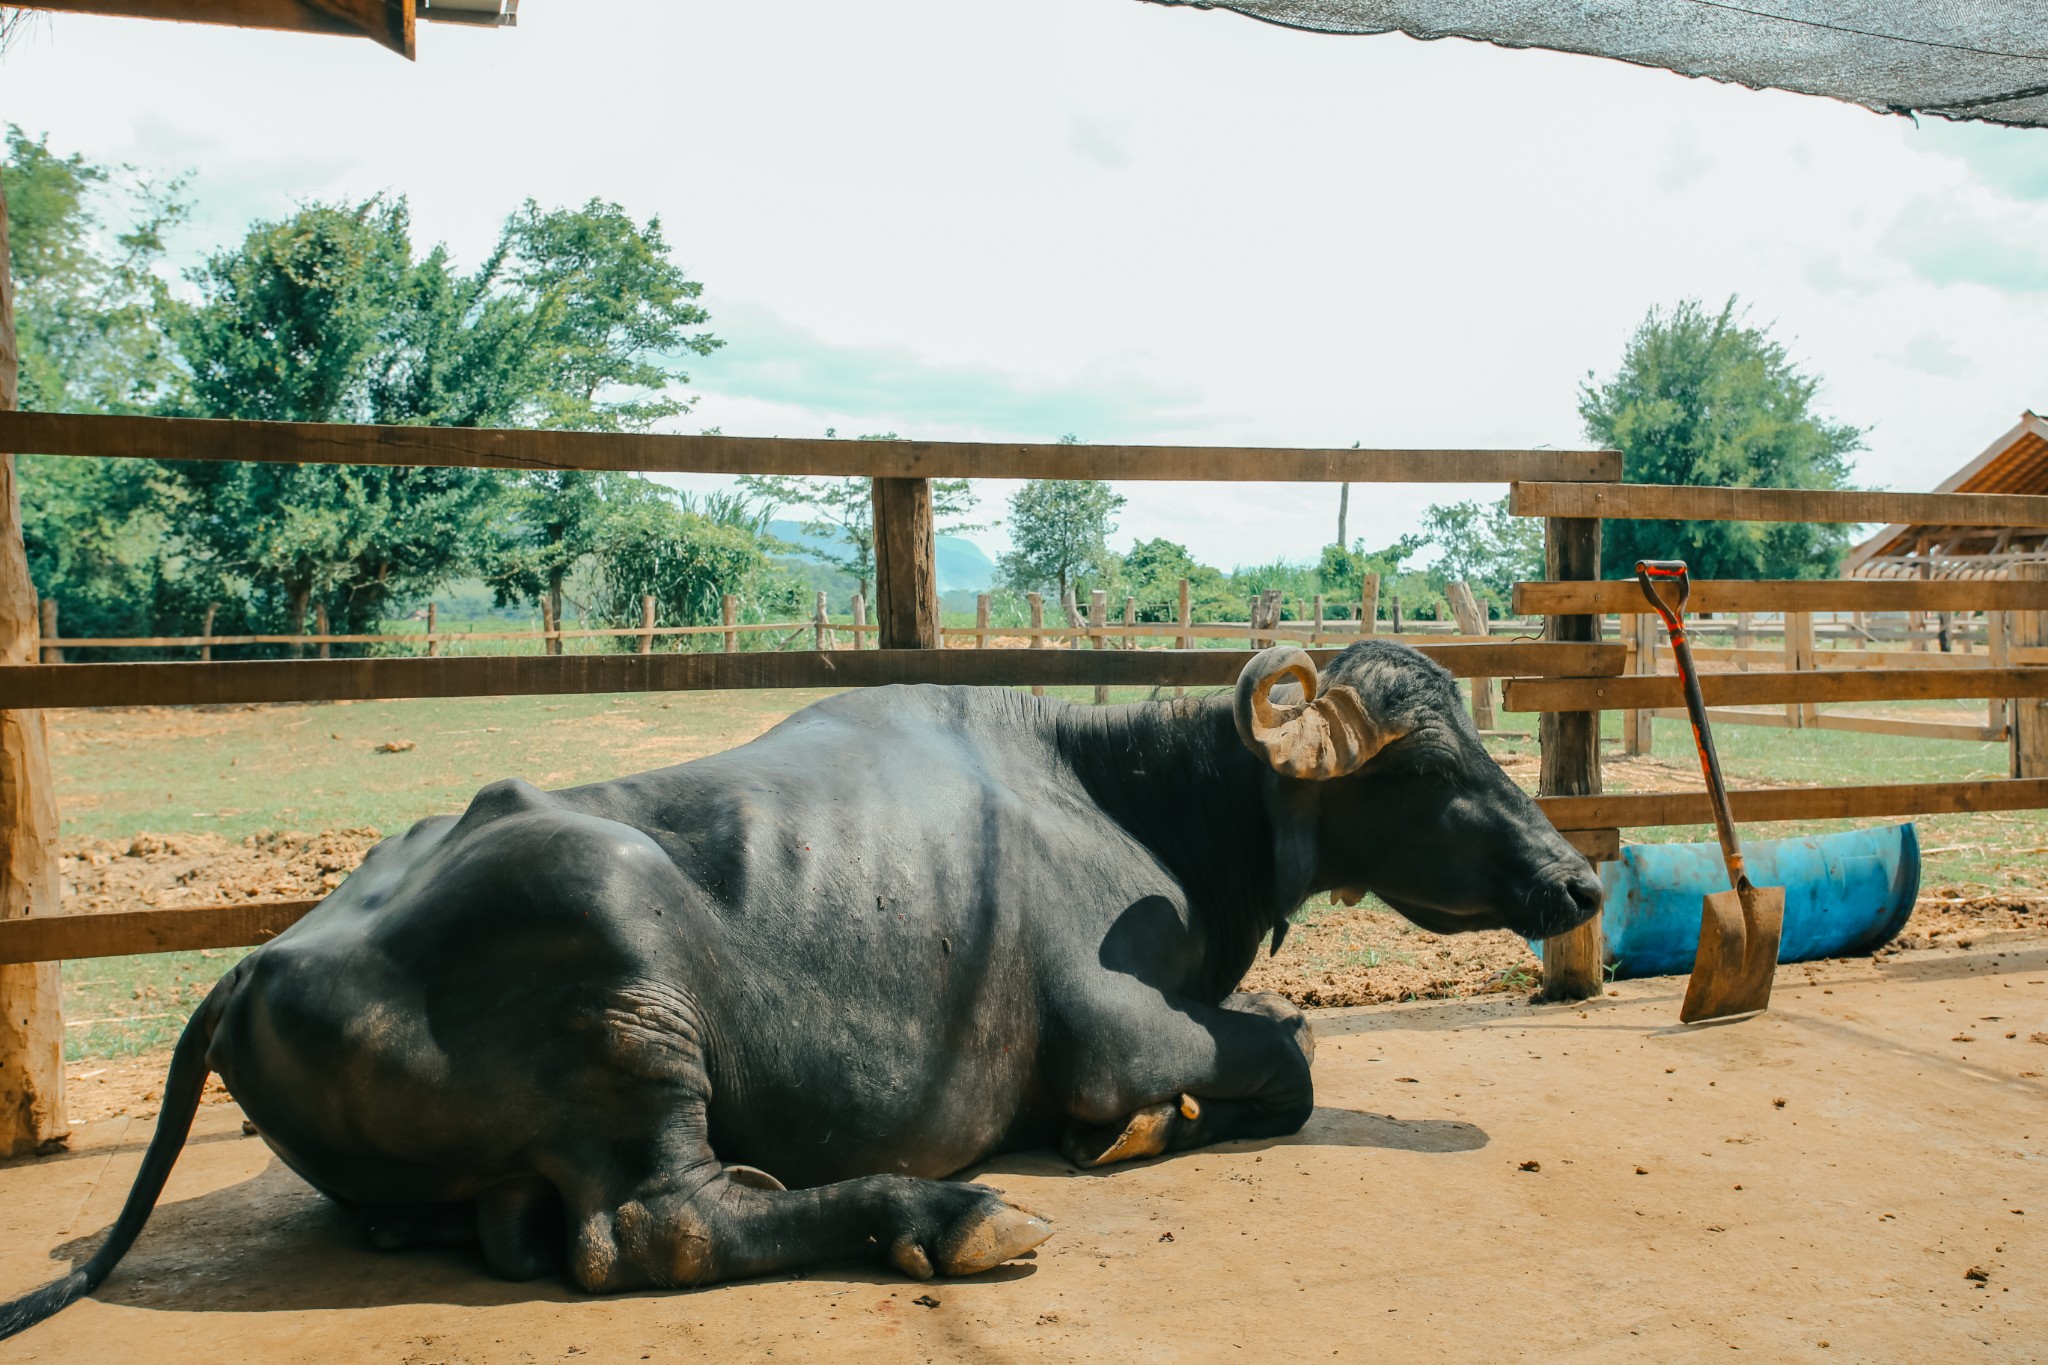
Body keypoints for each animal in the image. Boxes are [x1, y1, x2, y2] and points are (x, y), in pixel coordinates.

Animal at [0, 646, 1597, 1342]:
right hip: (629, 993)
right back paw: (946, 1214)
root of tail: (261, 955)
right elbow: (1291, 1056)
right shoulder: (1113, 1030)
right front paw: (1146, 1128)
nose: (1578, 882)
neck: (1126, 798)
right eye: (1429, 761)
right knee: (659, 1228)